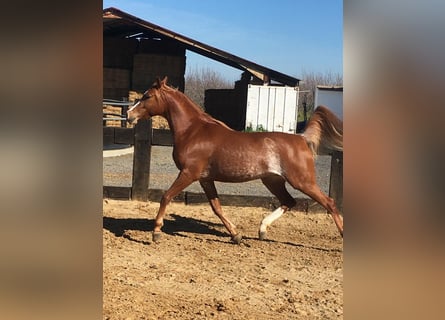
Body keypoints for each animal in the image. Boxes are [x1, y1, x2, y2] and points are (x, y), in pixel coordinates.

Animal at [126, 77, 342, 242]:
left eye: (147, 96)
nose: (129, 115)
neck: (193, 131)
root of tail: (301, 139)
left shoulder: (188, 173)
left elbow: (166, 196)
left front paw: (156, 232)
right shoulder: (205, 179)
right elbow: (216, 207)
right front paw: (236, 235)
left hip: (302, 181)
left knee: (329, 203)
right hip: (273, 180)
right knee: (289, 201)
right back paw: (262, 230)